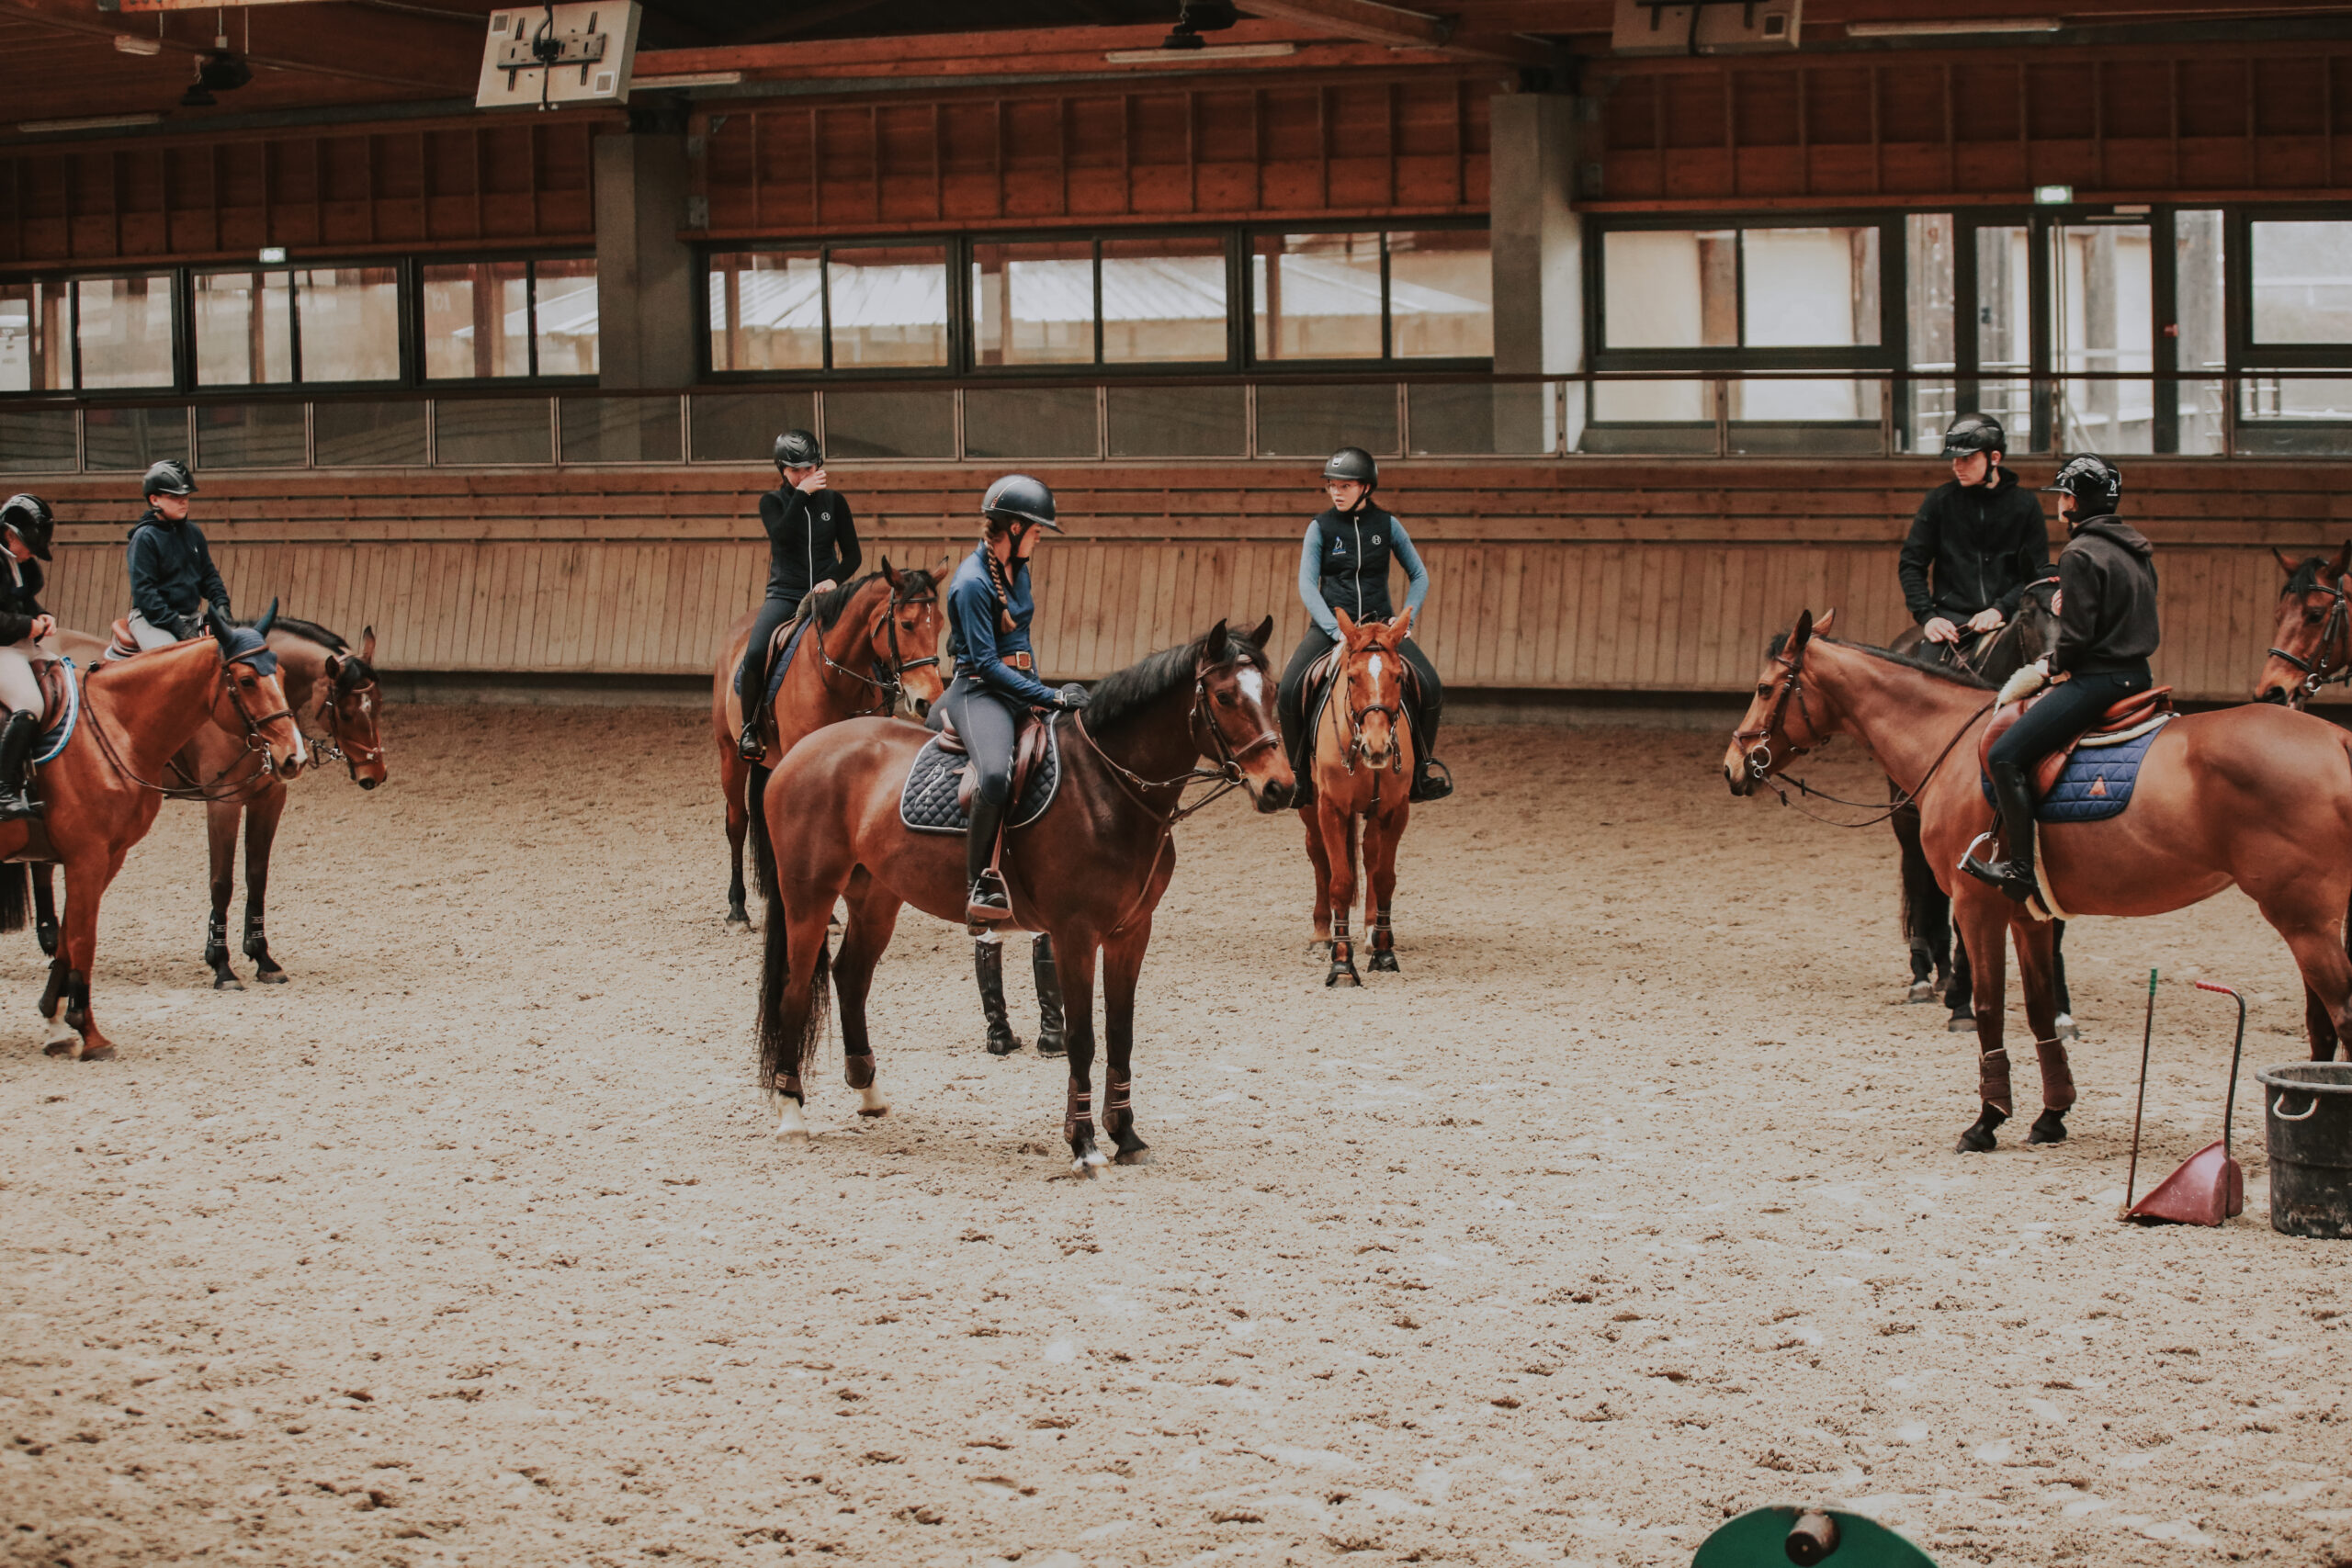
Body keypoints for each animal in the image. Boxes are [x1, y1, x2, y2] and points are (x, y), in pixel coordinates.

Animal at [16, 608, 305, 1061]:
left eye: (281, 673)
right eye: (245, 681)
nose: (295, 757)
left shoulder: (269, 797)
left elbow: (256, 876)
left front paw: (263, 959)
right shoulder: (221, 802)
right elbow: (221, 881)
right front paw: (222, 964)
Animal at [710, 564, 944, 928]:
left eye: (942, 622)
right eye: (906, 624)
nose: (928, 701)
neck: (836, 678)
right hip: (729, 755)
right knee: (737, 823)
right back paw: (737, 909)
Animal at [751, 617, 1294, 1173]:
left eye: (1272, 692)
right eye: (1224, 696)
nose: (1281, 788)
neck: (1109, 787)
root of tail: (802, 750)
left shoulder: (1131, 932)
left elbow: (1121, 1033)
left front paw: (1126, 1136)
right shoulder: (1076, 933)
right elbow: (1082, 1038)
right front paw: (1084, 1144)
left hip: (876, 898)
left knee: (850, 976)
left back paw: (869, 1092)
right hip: (809, 896)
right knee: (796, 986)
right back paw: (791, 1112)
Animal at [1298, 607, 1418, 988]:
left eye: (1398, 678)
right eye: (1352, 678)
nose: (1377, 748)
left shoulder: (1395, 810)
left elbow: (1384, 877)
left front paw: (1383, 952)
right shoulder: (1331, 807)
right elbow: (1340, 880)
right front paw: (1340, 963)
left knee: (1370, 856)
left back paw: (1370, 932)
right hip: (1310, 807)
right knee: (1318, 855)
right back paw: (1322, 934)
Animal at [1884, 580, 2074, 1035]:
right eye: (2028, 616)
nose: (2056, 668)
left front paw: (2060, 1010)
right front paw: (1963, 1001)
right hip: (1905, 819)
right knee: (1919, 882)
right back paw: (1923, 976)